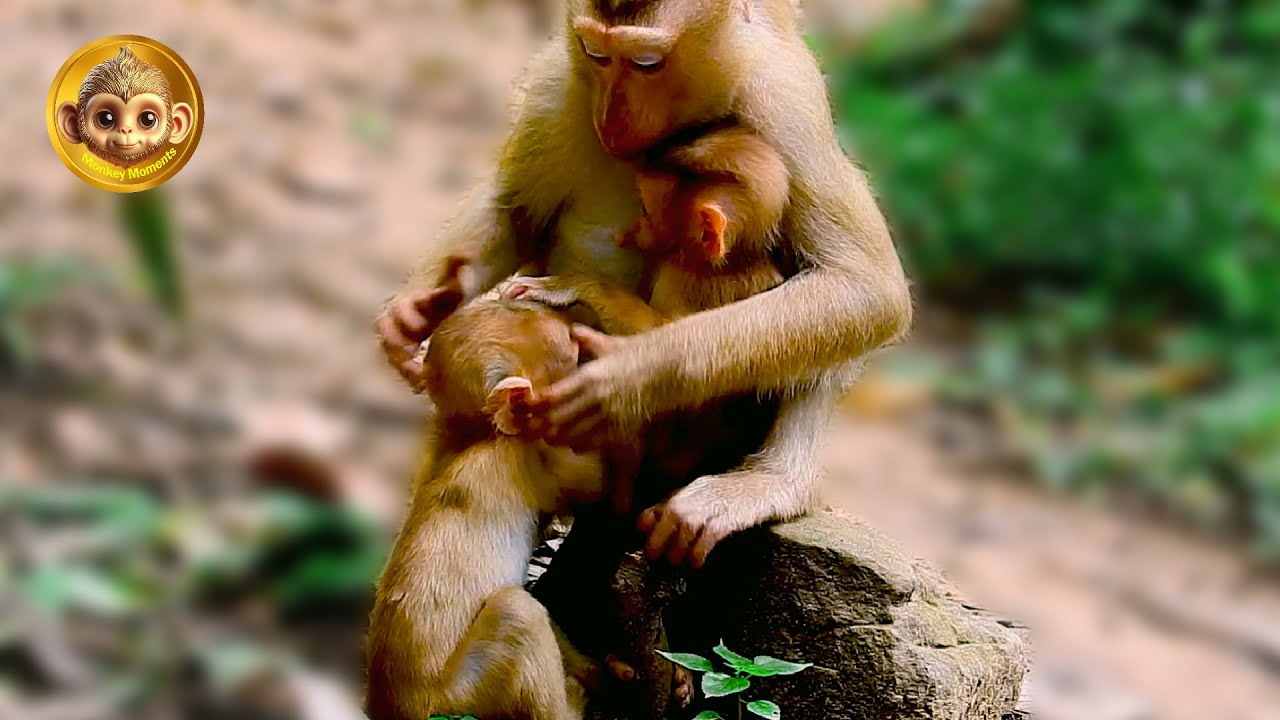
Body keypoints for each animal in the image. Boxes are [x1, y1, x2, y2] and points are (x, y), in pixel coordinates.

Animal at [365, 288, 605, 720]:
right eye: (573, 349)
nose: (585, 325)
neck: (475, 434)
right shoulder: (533, 454)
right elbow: (598, 482)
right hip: (462, 695)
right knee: (517, 610)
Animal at [375, 0, 911, 669]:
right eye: (598, 54)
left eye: (648, 62)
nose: (612, 115)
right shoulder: (561, 80)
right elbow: (516, 205)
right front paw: (414, 311)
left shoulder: (784, 103)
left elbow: (863, 288)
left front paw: (626, 377)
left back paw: (768, 483)